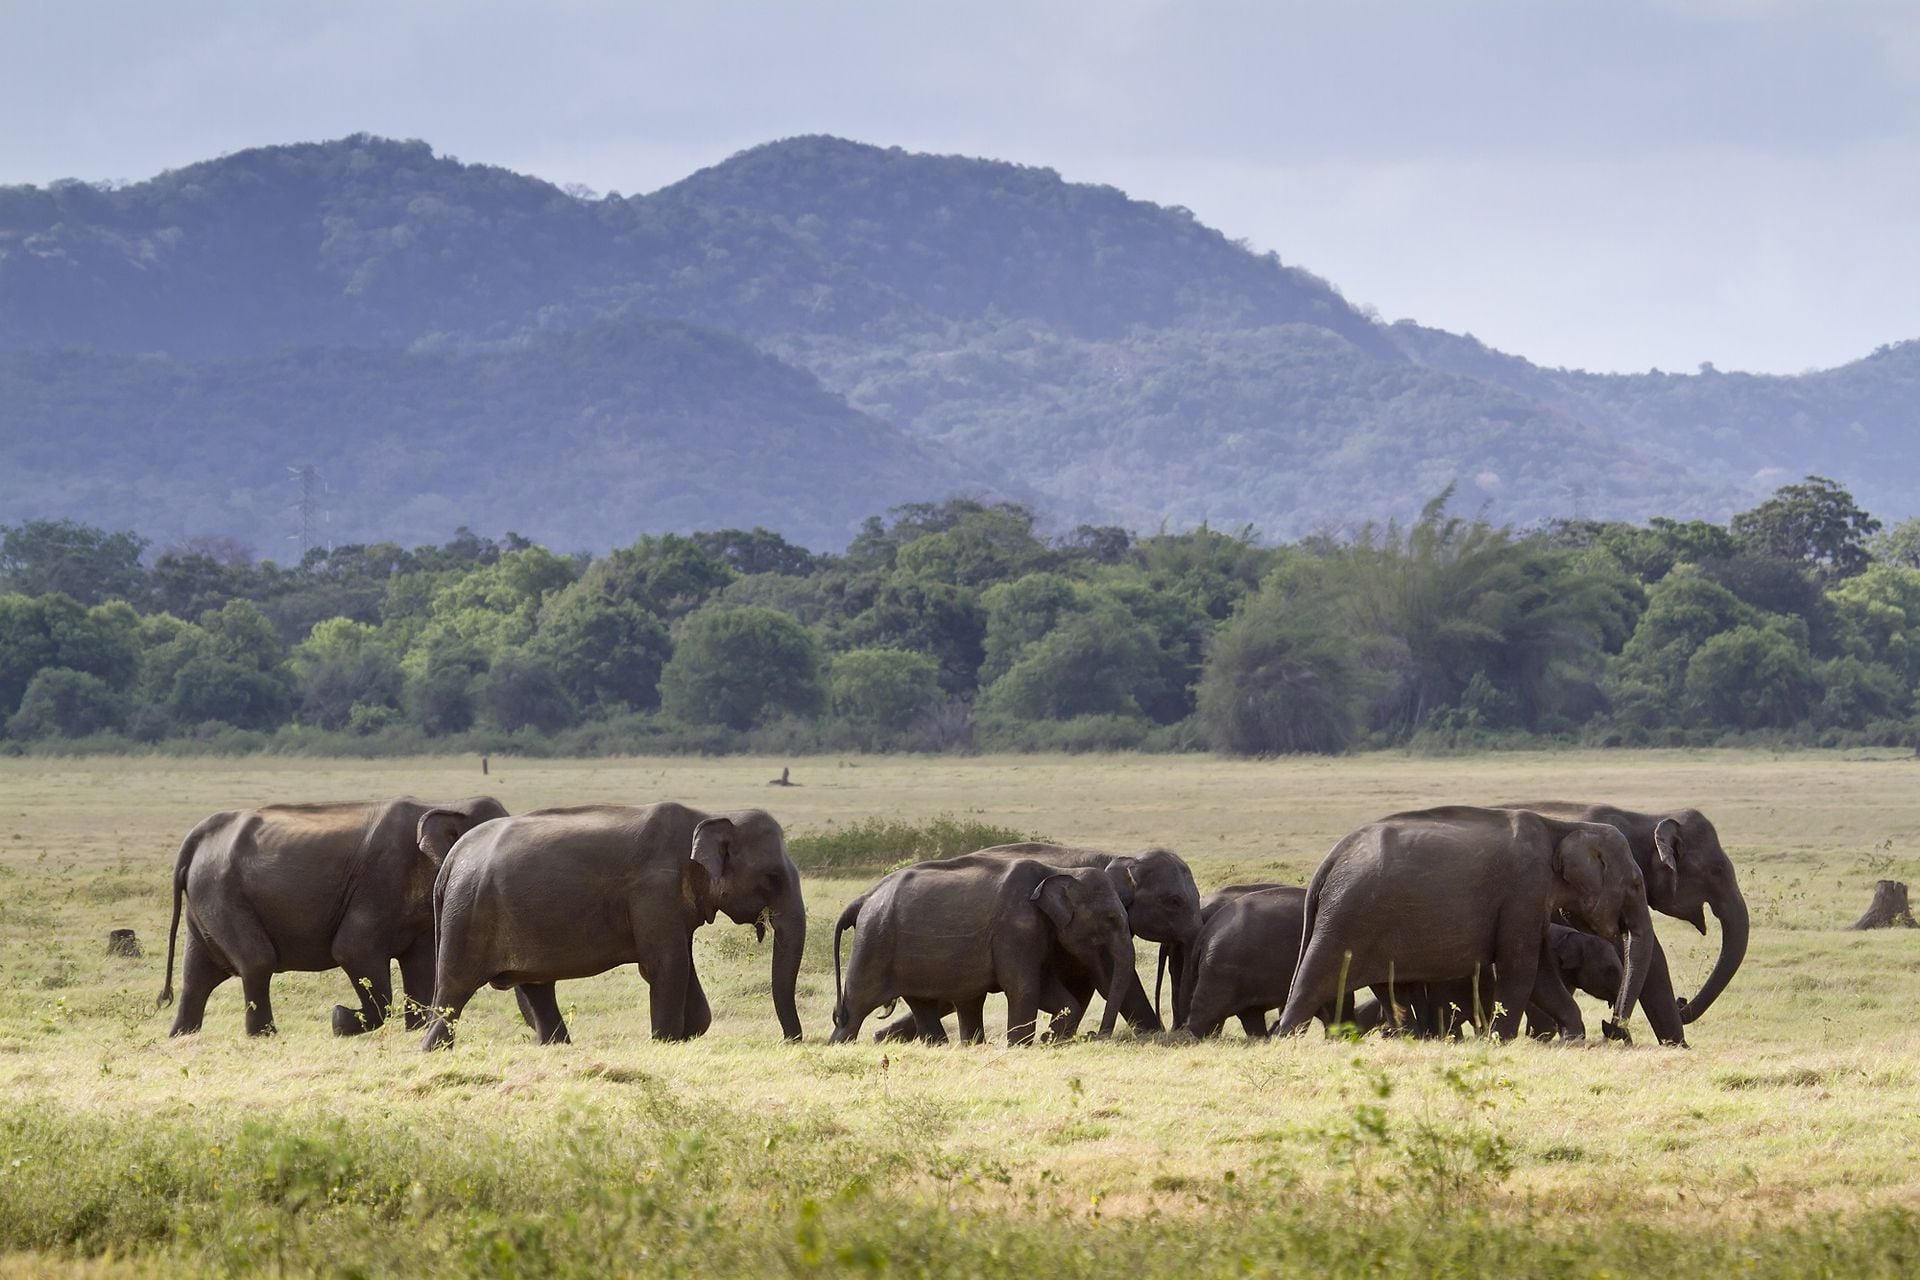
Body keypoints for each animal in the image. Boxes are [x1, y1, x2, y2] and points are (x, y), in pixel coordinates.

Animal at [156, 795, 508, 1037]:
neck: (449, 803)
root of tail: (196, 837)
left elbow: (420, 964)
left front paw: (414, 1030)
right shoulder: (381, 879)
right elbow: (352, 949)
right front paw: (339, 1019)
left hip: (206, 900)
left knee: (197, 975)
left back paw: (181, 1035)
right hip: (221, 893)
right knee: (257, 961)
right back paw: (264, 1035)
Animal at [419, 803, 805, 1049]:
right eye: (772, 877)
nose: (791, 1042)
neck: (708, 815)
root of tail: (452, 858)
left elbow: (678, 965)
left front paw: (686, 1033)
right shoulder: (654, 892)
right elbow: (667, 964)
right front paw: (665, 1042)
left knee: (536, 986)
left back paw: (558, 1047)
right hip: (468, 915)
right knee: (454, 990)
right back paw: (433, 1049)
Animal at [830, 857, 1136, 1046]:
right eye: (1110, 918)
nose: (1095, 1035)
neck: (1056, 871)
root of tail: (864, 897)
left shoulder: (1038, 935)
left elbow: (1052, 992)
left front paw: (1048, 1040)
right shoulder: (1015, 929)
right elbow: (1024, 988)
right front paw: (1020, 1046)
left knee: (922, 1005)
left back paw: (941, 1046)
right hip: (873, 942)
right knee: (855, 1008)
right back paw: (839, 1045)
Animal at [868, 841, 1200, 1041]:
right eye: (1174, 901)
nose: (1094, 1035)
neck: (1119, 856)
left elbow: (1085, 984)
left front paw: (1060, 1038)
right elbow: (1108, 977)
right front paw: (1151, 1035)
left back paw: (883, 1037)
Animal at [1274, 806, 1653, 1043]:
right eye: (1636, 884)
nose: (1613, 1029)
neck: (1563, 826)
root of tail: (1329, 861)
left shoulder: (1530, 901)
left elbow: (1541, 971)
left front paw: (1572, 1037)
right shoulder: (1524, 890)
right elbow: (1521, 967)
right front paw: (1500, 1041)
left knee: (1388, 989)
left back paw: (1408, 1038)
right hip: (1346, 916)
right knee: (1312, 981)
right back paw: (1283, 1038)